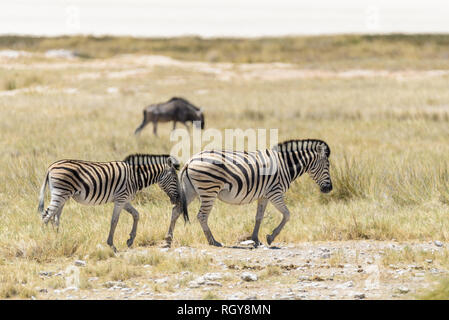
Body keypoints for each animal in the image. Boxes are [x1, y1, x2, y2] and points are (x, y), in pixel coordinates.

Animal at [36, 154, 187, 251]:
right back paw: (45, 241)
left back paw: (57, 239)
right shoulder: (120, 199)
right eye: (175, 178)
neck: (135, 177)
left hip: (63, 195)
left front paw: (130, 240)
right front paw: (111, 245)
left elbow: (136, 215)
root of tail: (51, 167)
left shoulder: (125, 200)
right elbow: (114, 221)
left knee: (55, 218)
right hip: (60, 193)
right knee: (46, 216)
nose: (178, 199)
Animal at [163, 138, 330, 248]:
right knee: (201, 216)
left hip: (191, 191)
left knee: (176, 210)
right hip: (209, 190)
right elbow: (287, 214)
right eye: (327, 165)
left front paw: (255, 239)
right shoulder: (275, 192)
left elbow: (259, 217)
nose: (329, 189)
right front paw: (271, 237)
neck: (284, 165)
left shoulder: (264, 195)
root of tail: (190, 161)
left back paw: (168, 239)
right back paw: (213, 241)